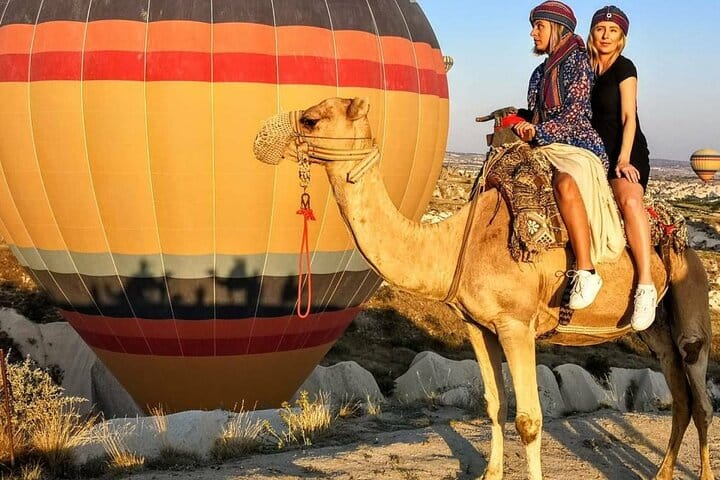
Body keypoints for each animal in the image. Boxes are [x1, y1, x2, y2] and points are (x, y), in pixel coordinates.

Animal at [254, 97, 715, 480]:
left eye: (311, 119)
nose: (263, 138)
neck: (458, 243)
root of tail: (683, 240)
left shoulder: (517, 324)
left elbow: (529, 419)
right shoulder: (478, 326)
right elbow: (495, 406)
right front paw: (490, 472)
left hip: (691, 304)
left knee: (702, 398)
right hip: (655, 331)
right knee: (681, 397)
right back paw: (661, 474)